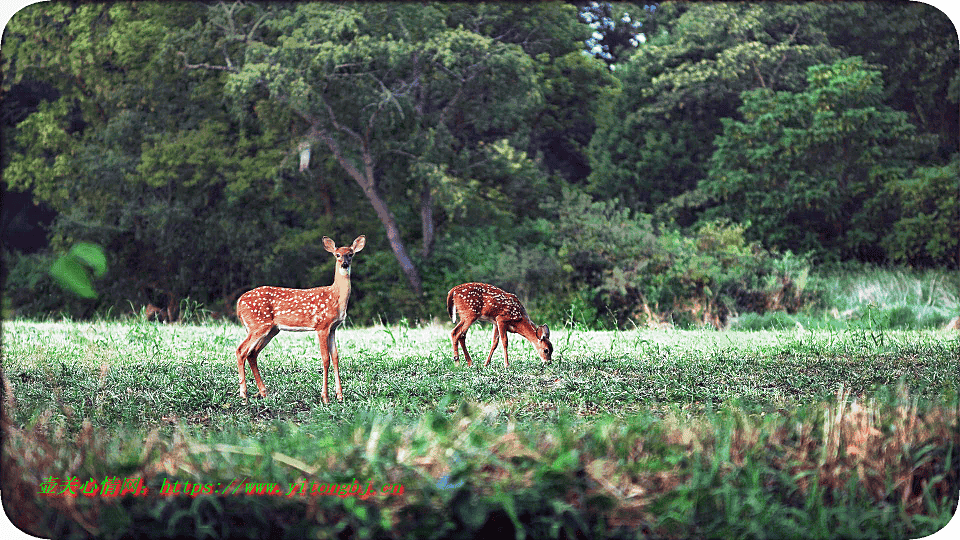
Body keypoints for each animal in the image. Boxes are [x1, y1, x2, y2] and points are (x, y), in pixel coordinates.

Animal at [234, 234, 366, 402]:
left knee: (252, 354)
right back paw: (243, 394)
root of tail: (239, 303)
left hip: (271, 330)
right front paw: (325, 397)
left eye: (351, 254)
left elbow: (336, 357)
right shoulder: (321, 325)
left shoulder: (333, 328)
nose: (344, 264)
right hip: (258, 325)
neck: (335, 297)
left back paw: (263, 392)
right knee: (240, 350)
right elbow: (325, 359)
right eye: (337, 255)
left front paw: (340, 396)